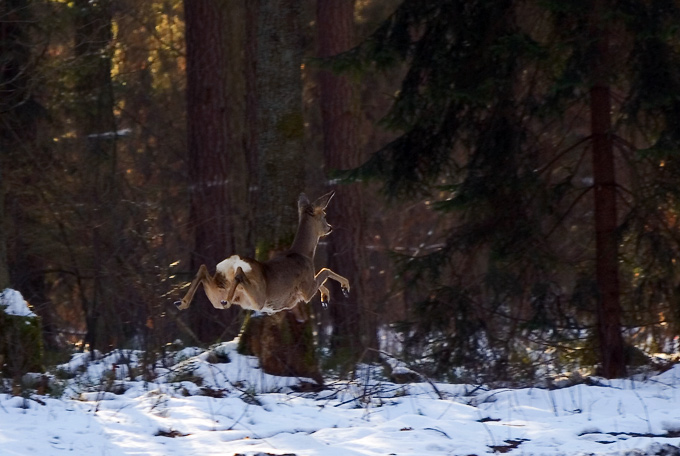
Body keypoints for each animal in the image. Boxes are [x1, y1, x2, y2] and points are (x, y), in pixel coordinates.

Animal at [174, 191, 350, 320]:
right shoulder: (305, 289)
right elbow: (325, 270)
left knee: (204, 270)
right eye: (324, 214)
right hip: (258, 297)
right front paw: (345, 287)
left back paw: (182, 302)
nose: (330, 227)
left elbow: (321, 275)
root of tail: (230, 265)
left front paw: (325, 298)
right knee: (239, 275)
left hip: (217, 295)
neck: (304, 254)